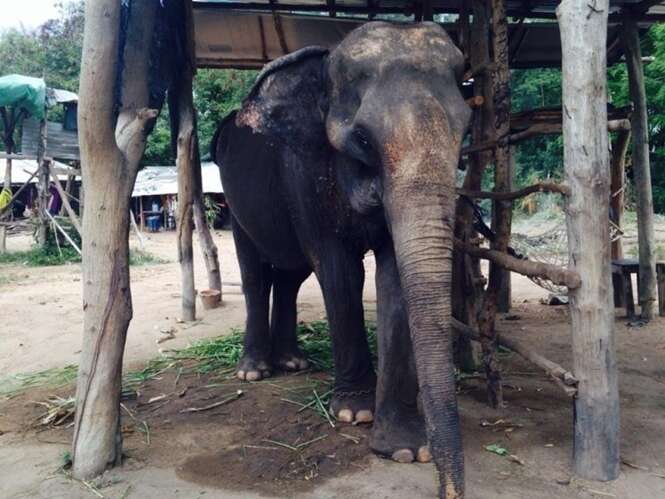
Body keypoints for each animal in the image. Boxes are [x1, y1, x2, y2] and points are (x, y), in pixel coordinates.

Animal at [214, 21, 472, 498]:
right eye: (363, 139)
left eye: (464, 132)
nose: (448, 490)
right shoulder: (302, 169)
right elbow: (338, 269)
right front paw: (354, 413)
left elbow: (393, 275)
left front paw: (405, 449)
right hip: (233, 199)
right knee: (255, 272)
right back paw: (254, 372)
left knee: (290, 276)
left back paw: (292, 363)